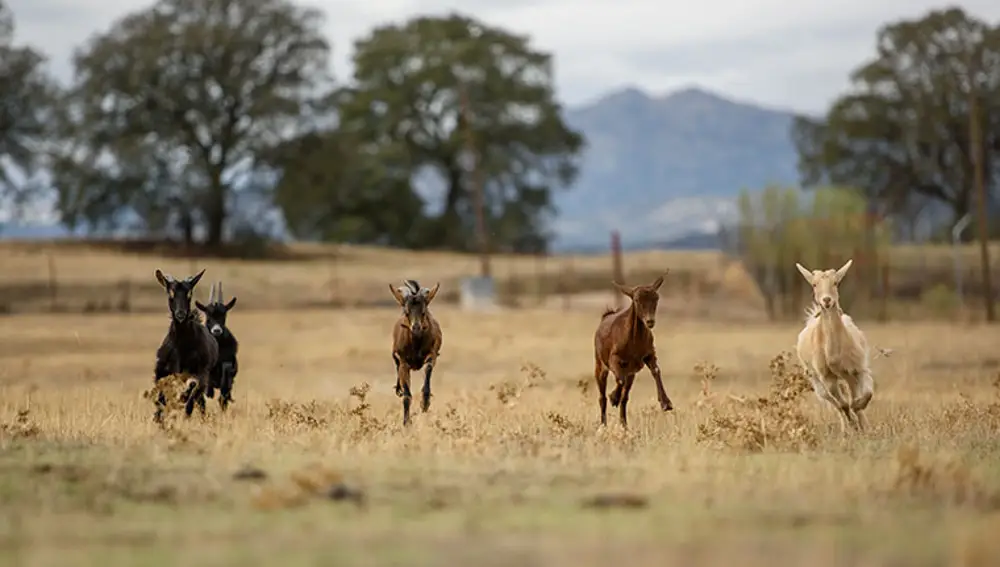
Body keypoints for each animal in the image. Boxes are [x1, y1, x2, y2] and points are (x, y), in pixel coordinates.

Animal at [151, 270, 218, 422]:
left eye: (189, 293)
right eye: (170, 293)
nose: (180, 314)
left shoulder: (201, 373)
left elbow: (192, 392)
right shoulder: (162, 371)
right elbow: (161, 399)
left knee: (198, 400)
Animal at [386, 280, 442, 426]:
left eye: (423, 311)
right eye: (406, 312)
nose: (416, 328)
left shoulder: (432, 355)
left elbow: (428, 369)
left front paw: (425, 403)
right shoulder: (404, 363)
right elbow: (407, 396)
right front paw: (406, 423)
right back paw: (398, 389)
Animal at [592, 272, 672, 428]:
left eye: (656, 298)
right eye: (636, 299)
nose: (650, 321)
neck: (634, 342)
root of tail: (605, 317)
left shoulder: (649, 354)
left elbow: (656, 371)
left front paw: (666, 403)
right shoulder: (614, 358)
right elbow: (619, 380)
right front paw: (613, 397)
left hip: (631, 373)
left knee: (625, 397)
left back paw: (624, 424)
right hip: (600, 363)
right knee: (602, 397)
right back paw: (604, 424)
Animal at [796, 260, 876, 432]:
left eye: (836, 282)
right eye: (814, 284)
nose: (826, 300)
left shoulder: (858, 368)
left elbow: (867, 393)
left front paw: (861, 418)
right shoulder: (827, 377)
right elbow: (843, 404)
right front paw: (853, 425)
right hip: (815, 379)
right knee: (835, 403)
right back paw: (847, 428)